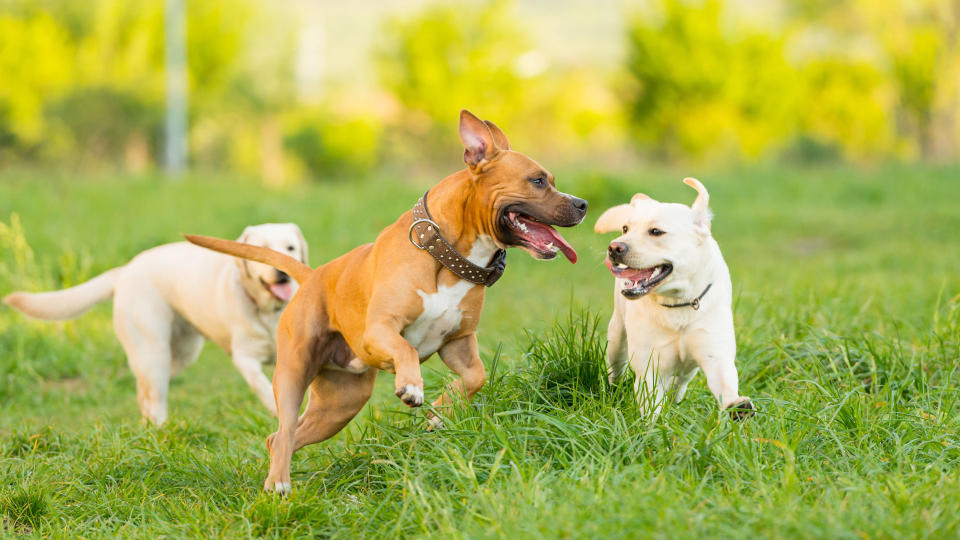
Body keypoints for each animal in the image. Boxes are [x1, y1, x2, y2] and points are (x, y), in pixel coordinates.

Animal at [0, 221, 308, 424]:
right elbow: (262, 385)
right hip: (154, 353)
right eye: (259, 250)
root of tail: (124, 270)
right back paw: (160, 434)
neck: (269, 311)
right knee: (154, 399)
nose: (282, 270)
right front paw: (276, 410)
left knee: (144, 392)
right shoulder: (245, 358)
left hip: (180, 355)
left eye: (290, 247)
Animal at [185, 110, 588, 494]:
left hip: (340, 405)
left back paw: (275, 478)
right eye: (538, 180)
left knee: (280, 436)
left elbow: (476, 376)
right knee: (283, 429)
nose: (582, 203)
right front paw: (412, 388)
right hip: (292, 373)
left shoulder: (459, 343)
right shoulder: (380, 330)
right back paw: (279, 484)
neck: (445, 254)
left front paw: (440, 412)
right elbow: (406, 350)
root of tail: (312, 276)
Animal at [592, 179, 756, 420]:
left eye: (656, 231)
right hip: (617, 338)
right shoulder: (649, 367)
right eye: (625, 229)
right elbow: (651, 404)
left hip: (690, 366)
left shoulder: (715, 354)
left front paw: (738, 407)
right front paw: (652, 425)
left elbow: (725, 385)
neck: (677, 303)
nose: (614, 247)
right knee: (616, 369)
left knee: (682, 379)